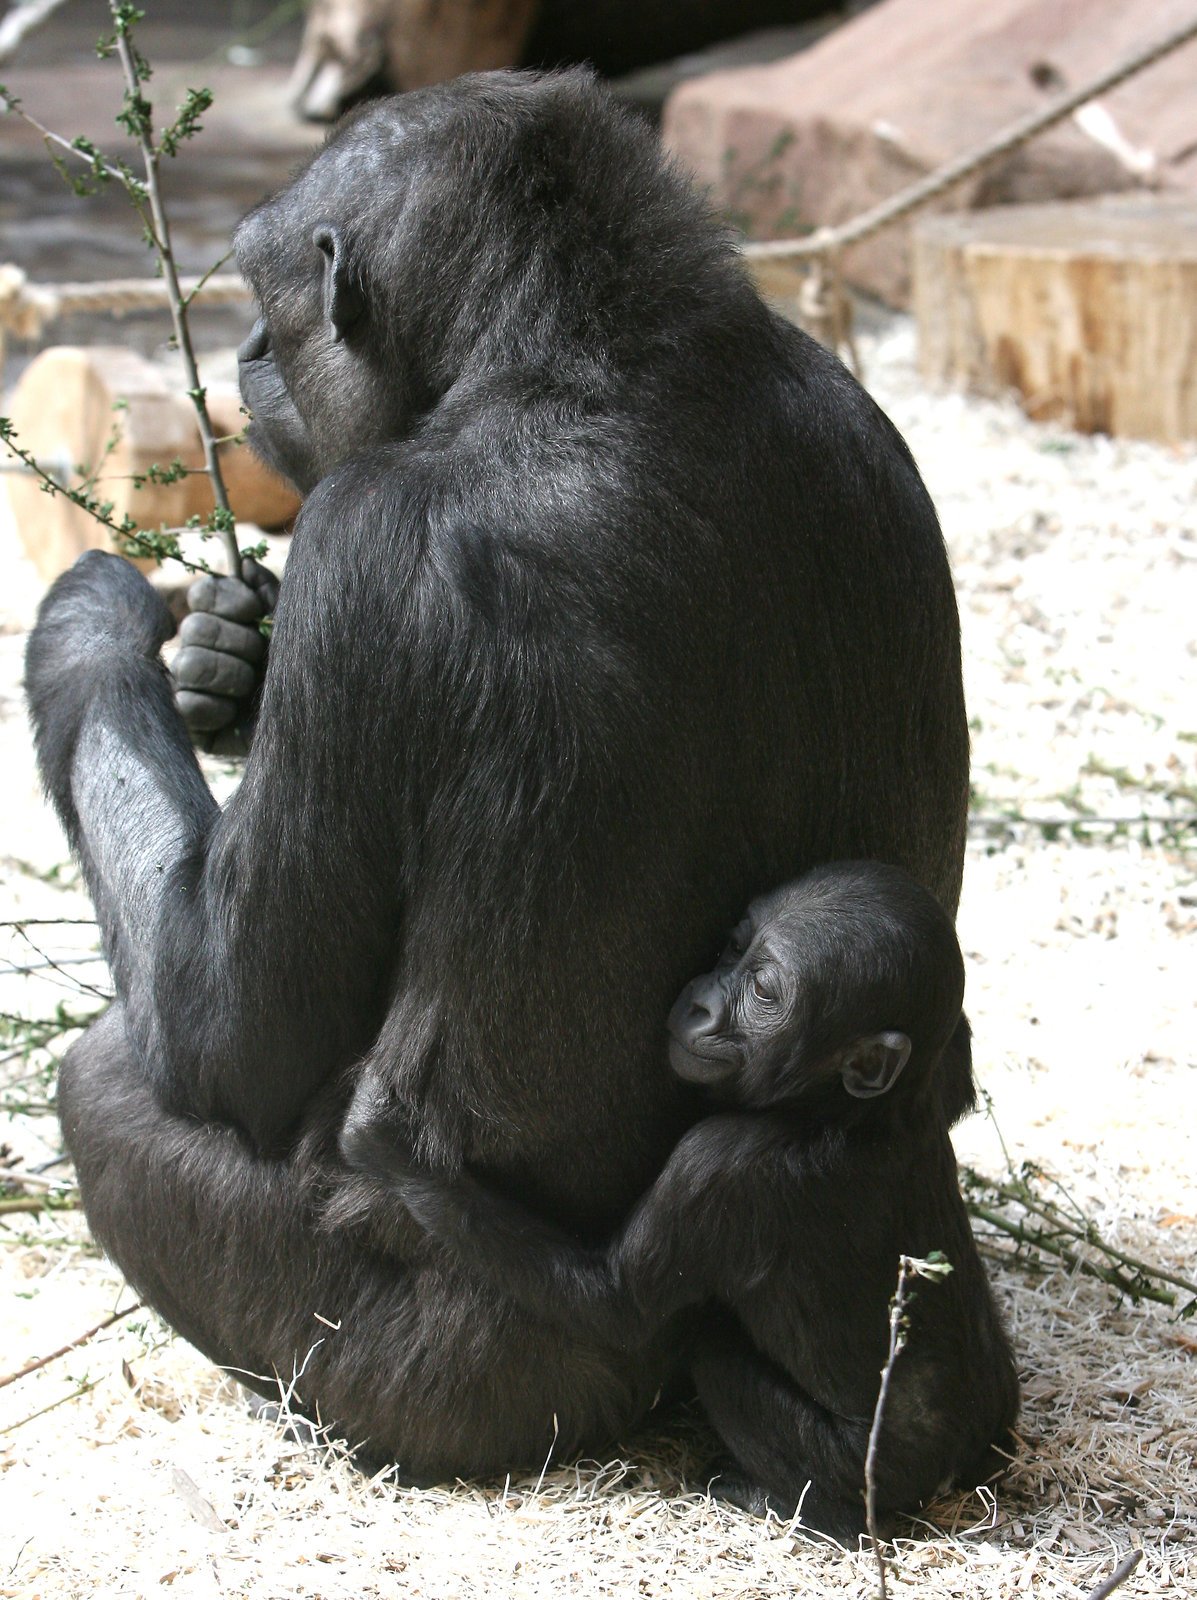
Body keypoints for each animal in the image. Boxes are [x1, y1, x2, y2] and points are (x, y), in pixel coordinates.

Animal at [23, 72, 966, 1472]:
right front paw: (220, 657)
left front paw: (86, 623)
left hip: (458, 1382)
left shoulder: (361, 533)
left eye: (269, 308)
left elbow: (221, 1034)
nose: (243, 353)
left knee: (109, 1083)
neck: (589, 357)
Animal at [348, 864, 1017, 1536]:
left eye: (765, 990)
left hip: (859, 1465)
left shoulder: (719, 1164)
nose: (701, 1002)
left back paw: (802, 1508)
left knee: (714, 1346)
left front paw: (388, 1142)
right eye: (734, 945)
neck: (840, 1110)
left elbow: (615, 1302)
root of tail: (950, 1476)